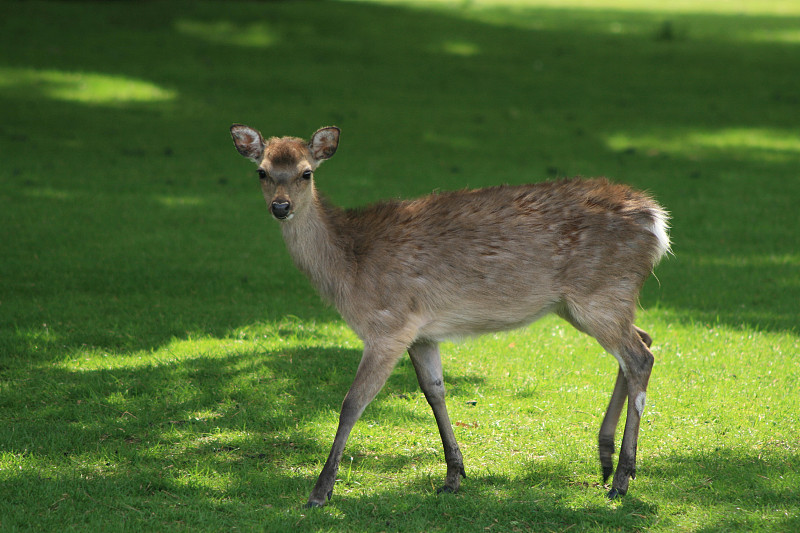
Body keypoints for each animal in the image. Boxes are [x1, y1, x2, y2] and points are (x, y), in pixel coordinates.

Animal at [230, 122, 668, 504]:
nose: (281, 206)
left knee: (640, 357)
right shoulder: (421, 332)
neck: (349, 267)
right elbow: (434, 391)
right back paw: (606, 460)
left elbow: (352, 403)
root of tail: (657, 222)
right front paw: (454, 475)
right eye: (262, 171)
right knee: (643, 340)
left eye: (305, 173)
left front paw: (320, 492)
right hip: (585, 304)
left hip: (600, 294)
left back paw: (622, 478)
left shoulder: (388, 326)